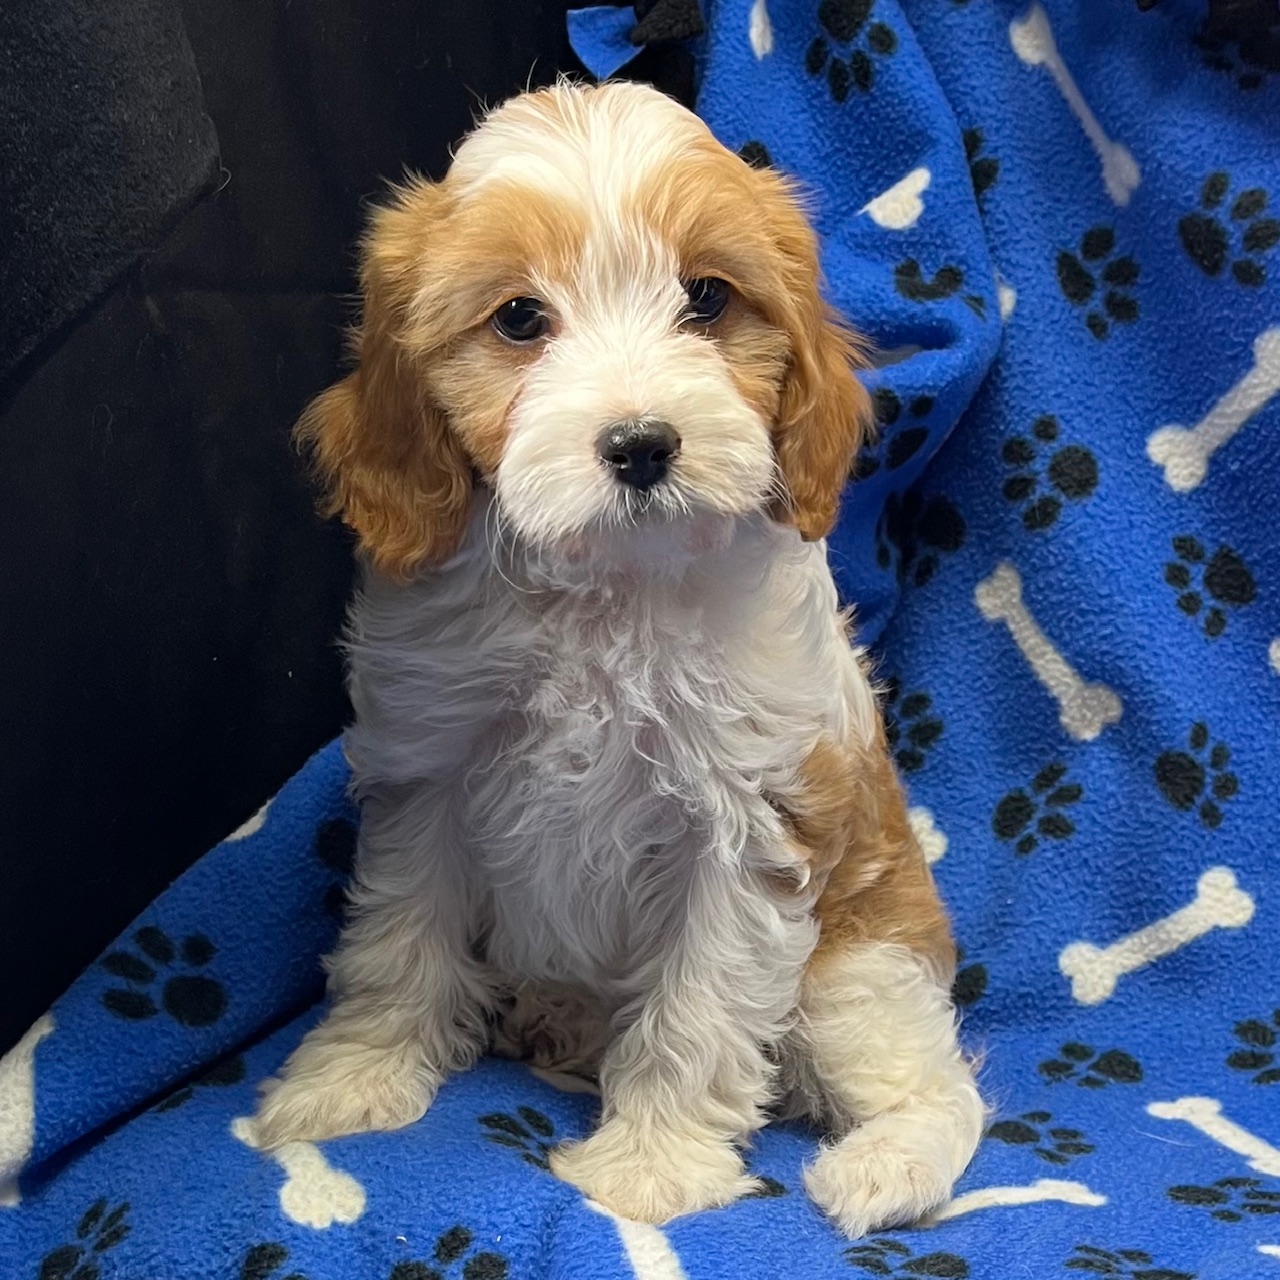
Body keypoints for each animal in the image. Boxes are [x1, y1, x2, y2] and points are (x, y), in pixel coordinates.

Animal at [254, 77, 983, 1228]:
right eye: (519, 318)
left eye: (708, 299)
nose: (641, 444)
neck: (607, 587)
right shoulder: (429, 774)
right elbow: (396, 943)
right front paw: (354, 1079)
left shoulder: (747, 826)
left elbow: (697, 1011)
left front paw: (651, 1169)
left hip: (857, 967)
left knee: (936, 1084)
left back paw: (885, 1165)